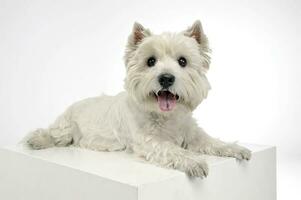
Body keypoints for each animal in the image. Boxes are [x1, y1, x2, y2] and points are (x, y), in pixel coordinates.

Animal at [25, 20, 251, 178]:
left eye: (182, 61)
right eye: (150, 61)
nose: (166, 78)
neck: (166, 117)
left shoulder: (192, 134)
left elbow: (211, 141)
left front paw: (237, 149)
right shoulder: (148, 141)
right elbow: (172, 149)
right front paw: (194, 162)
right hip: (67, 126)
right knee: (53, 133)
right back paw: (36, 140)